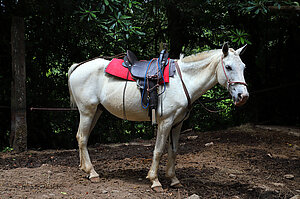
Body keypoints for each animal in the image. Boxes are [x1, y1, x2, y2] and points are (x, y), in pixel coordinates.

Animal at [67, 43, 248, 191]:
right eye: (228, 67)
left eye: (244, 67)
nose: (243, 96)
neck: (183, 81)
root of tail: (78, 66)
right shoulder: (165, 122)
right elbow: (159, 150)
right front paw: (155, 181)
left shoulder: (177, 124)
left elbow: (173, 150)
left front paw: (174, 179)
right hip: (87, 111)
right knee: (82, 138)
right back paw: (92, 172)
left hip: (96, 111)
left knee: (81, 137)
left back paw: (85, 168)